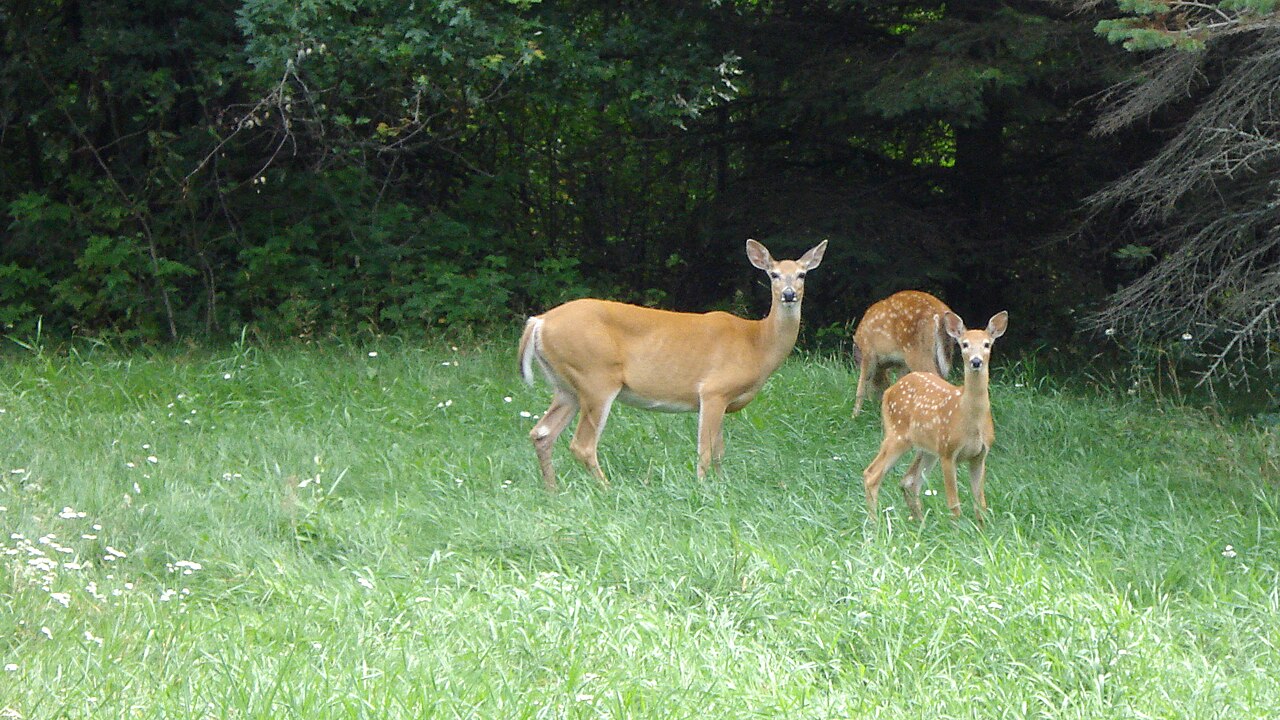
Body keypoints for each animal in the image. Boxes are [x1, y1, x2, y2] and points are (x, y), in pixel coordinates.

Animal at [518, 238, 827, 491]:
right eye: (773, 274)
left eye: (802, 274)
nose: (789, 294)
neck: (757, 343)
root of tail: (539, 322)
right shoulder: (714, 390)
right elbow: (705, 450)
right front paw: (702, 488)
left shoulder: (724, 400)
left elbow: (719, 450)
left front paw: (722, 485)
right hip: (595, 377)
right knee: (581, 444)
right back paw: (607, 488)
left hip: (567, 387)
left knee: (542, 433)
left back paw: (553, 490)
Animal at [861, 310, 1009, 526]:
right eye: (964, 344)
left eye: (987, 344)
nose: (976, 361)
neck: (970, 418)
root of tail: (889, 391)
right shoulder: (948, 451)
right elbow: (953, 503)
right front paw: (957, 529)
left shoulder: (980, 455)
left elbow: (980, 502)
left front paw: (982, 529)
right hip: (897, 434)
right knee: (872, 474)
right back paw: (874, 523)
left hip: (927, 449)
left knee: (909, 481)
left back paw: (920, 522)